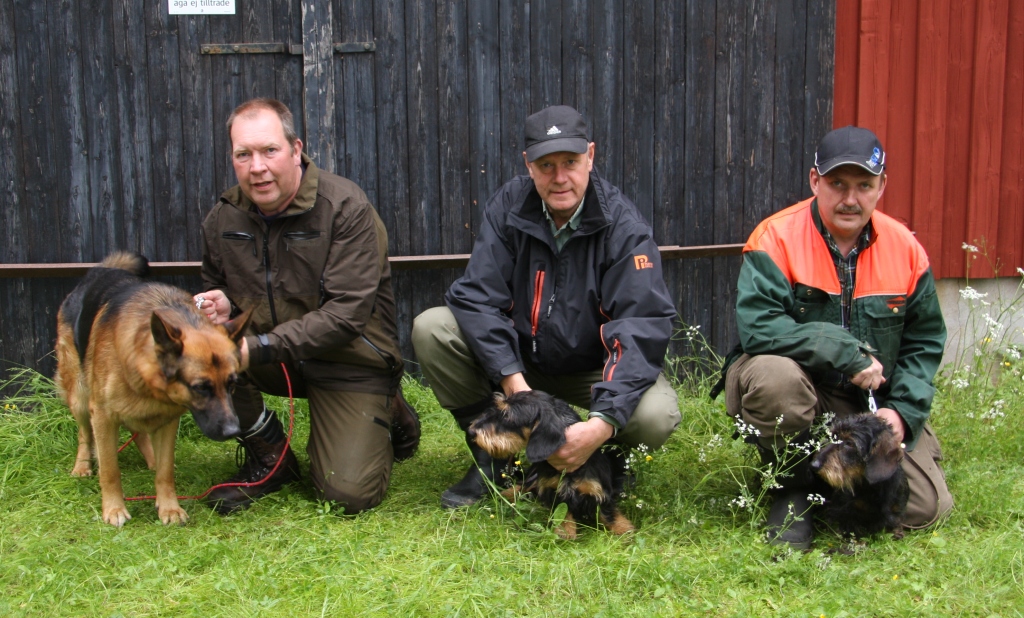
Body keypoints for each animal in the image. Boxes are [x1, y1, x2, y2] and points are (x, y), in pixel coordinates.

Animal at [54, 252, 252, 527]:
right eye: (200, 387)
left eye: (232, 384)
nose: (234, 431)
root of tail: (102, 270)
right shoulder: (103, 417)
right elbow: (110, 470)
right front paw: (114, 509)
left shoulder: (168, 420)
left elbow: (165, 470)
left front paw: (169, 508)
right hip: (80, 397)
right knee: (85, 433)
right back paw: (82, 466)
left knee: (139, 433)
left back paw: (150, 459)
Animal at [467, 390, 634, 540]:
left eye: (506, 415)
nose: (471, 431)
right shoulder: (554, 491)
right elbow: (563, 512)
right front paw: (565, 532)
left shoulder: (599, 491)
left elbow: (608, 513)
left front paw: (623, 530)